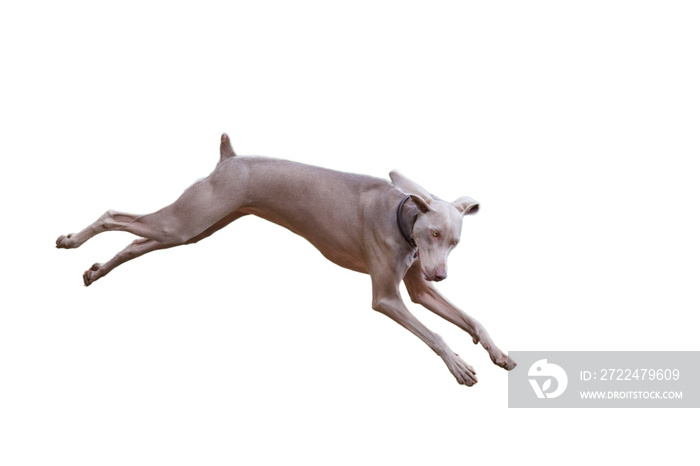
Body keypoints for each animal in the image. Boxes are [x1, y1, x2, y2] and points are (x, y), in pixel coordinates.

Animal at [57, 134, 516, 386]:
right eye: (433, 233)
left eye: (455, 241)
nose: (439, 274)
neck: (402, 216)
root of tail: (229, 158)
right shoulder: (386, 298)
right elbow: (433, 333)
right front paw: (459, 365)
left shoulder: (419, 290)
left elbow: (472, 320)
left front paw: (497, 353)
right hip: (185, 222)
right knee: (113, 216)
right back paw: (70, 240)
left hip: (192, 229)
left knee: (135, 243)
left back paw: (95, 272)